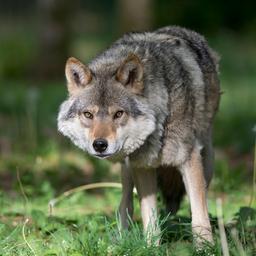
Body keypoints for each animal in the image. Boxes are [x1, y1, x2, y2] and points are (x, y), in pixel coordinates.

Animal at [57, 25, 220, 244]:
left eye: (118, 114)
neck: (159, 122)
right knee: (125, 204)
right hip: (127, 168)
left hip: (207, 162)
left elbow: (199, 218)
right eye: (88, 114)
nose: (99, 145)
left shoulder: (189, 160)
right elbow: (150, 219)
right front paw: (151, 247)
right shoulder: (142, 166)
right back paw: (120, 241)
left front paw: (205, 247)